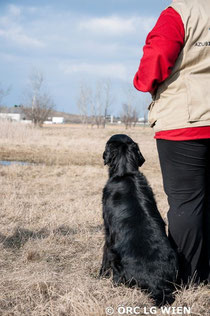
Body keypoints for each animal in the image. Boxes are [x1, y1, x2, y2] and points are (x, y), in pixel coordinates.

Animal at [99, 134, 178, 306]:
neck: (126, 173)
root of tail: (158, 283)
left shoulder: (108, 233)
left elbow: (104, 256)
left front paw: (99, 276)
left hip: (117, 258)